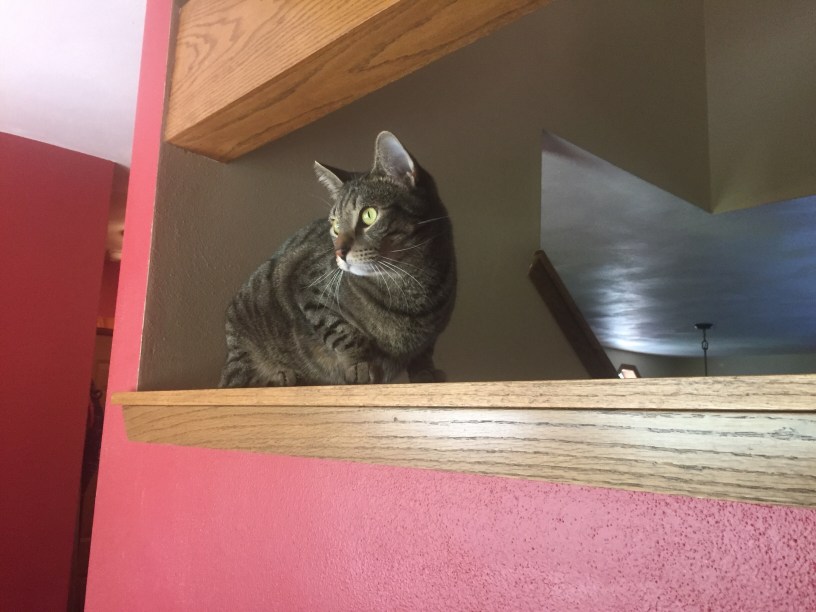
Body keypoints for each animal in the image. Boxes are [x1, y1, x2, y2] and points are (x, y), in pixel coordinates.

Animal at [219, 131, 456, 387]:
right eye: (334, 225)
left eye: (369, 215)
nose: (339, 253)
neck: (409, 284)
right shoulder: (307, 288)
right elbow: (343, 333)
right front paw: (361, 366)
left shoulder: (433, 333)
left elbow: (424, 352)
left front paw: (426, 373)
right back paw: (283, 377)